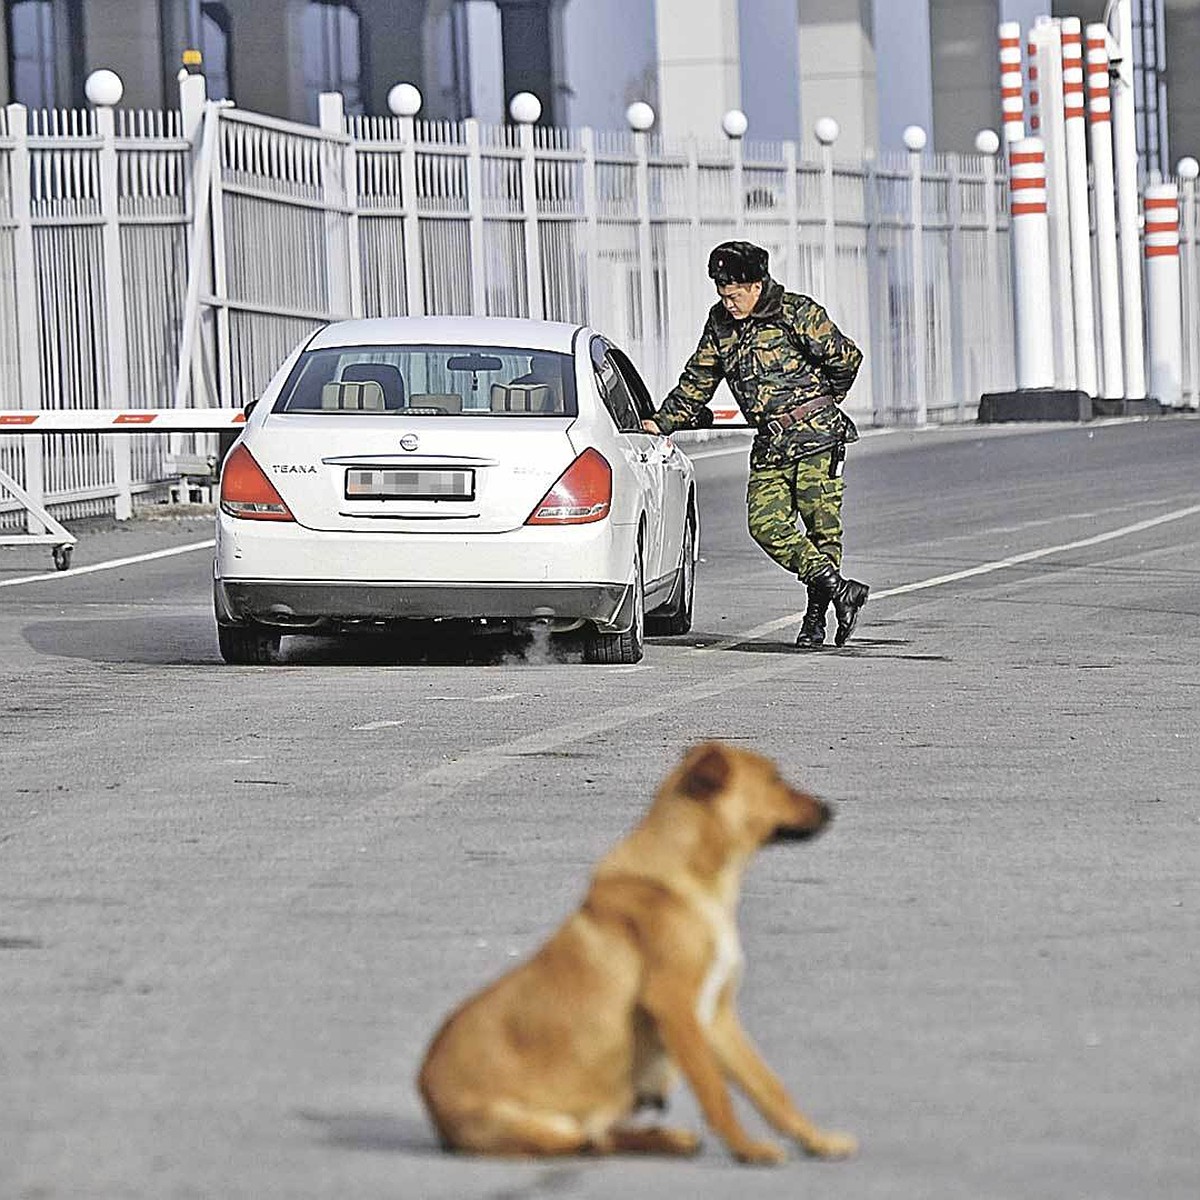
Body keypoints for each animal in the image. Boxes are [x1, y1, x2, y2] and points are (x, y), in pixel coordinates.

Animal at [417, 739, 859, 1161]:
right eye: (774, 779)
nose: (830, 809)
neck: (690, 882)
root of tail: (429, 1098)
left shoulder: (718, 1017)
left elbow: (769, 1088)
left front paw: (817, 1141)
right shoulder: (674, 1005)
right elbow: (715, 1093)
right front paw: (747, 1150)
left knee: (601, 1135)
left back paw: (669, 1138)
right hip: (534, 1125)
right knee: (586, 1142)